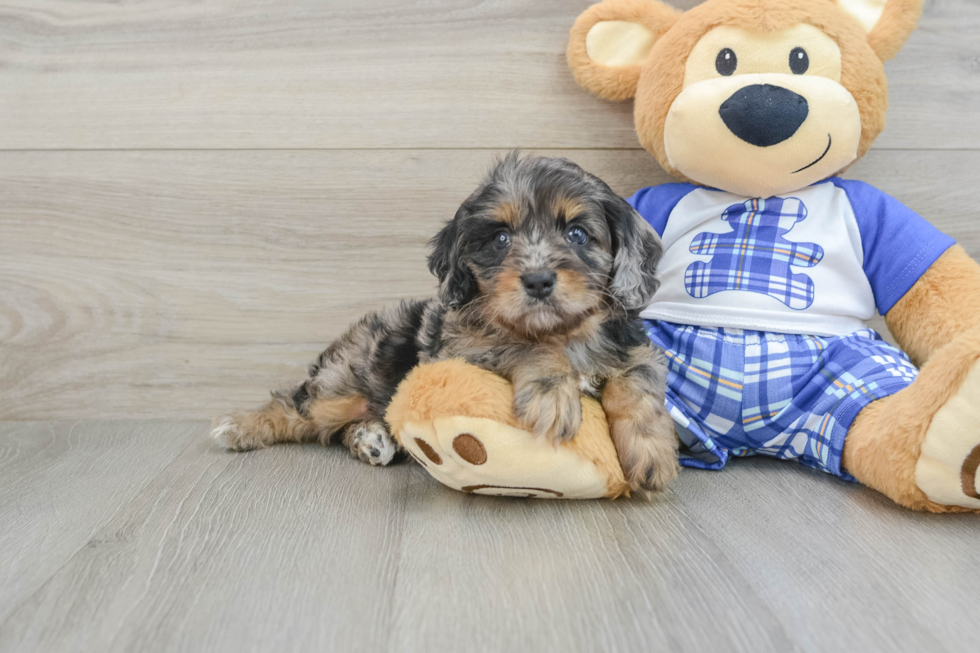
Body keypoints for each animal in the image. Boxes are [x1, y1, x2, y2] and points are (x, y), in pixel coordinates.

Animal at [211, 153, 676, 488]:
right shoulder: (461, 349)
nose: (538, 280)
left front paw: (652, 452)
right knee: (297, 406)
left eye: (577, 234)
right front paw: (552, 392)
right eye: (500, 238)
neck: (565, 332)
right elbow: (523, 346)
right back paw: (239, 427)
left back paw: (370, 438)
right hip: (343, 382)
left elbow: (638, 381)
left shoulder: (634, 347)